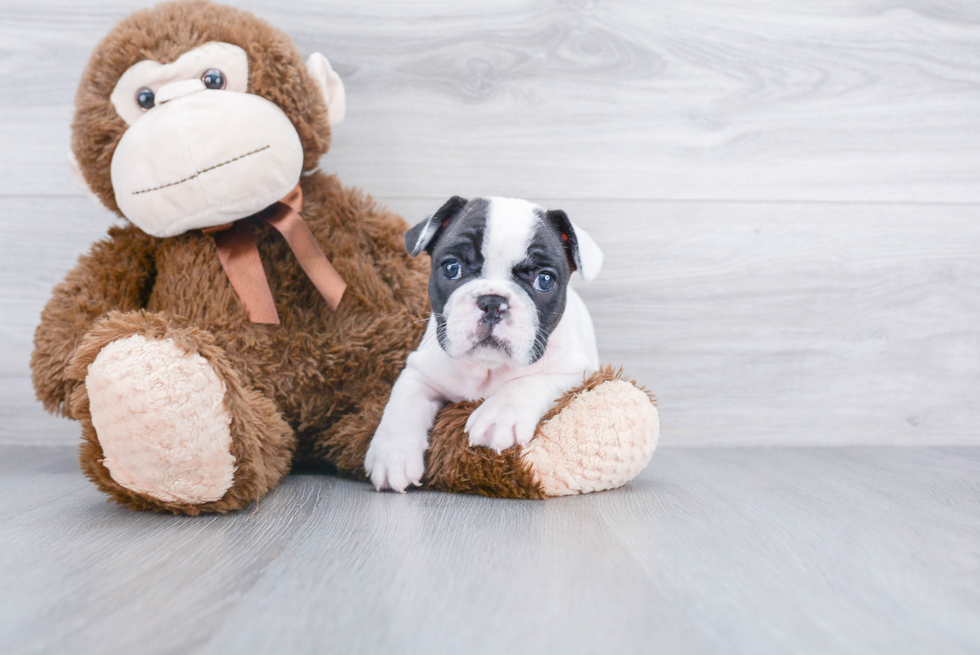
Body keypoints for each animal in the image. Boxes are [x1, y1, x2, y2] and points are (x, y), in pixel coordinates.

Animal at [364, 195, 600, 492]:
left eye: (545, 280)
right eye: (451, 268)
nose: (492, 302)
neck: (487, 368)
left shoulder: (576, 372)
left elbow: (528, 382)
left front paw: (499, 416)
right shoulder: (421, 372)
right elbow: (402, 404)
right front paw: (391, 454)